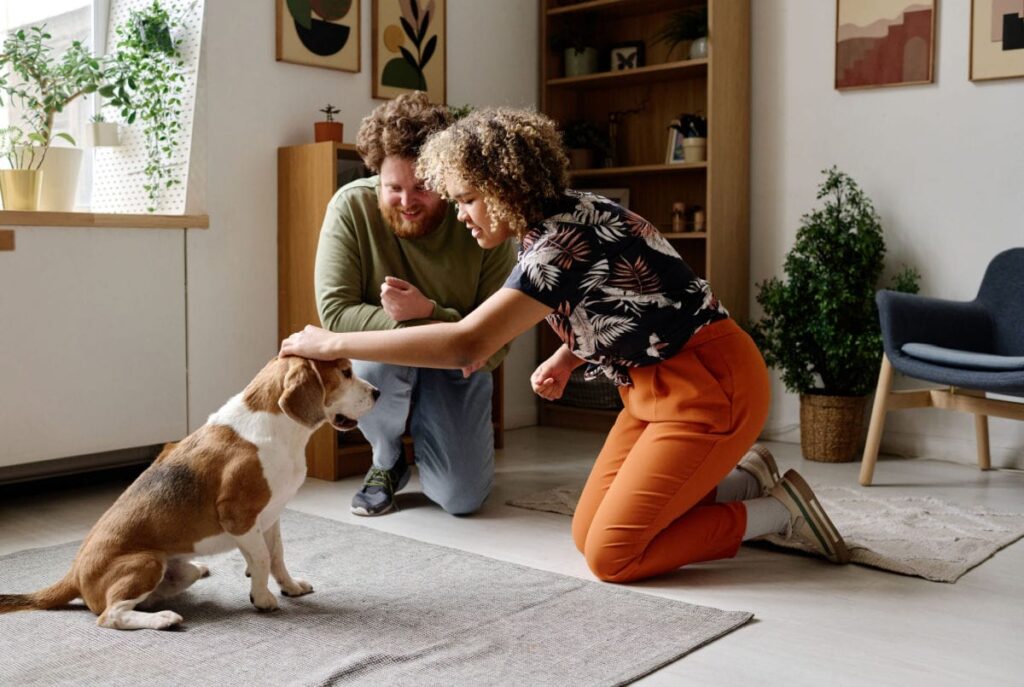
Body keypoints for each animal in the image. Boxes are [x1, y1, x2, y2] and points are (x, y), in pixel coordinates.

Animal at [0, 358, 378, 630]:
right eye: (345, 372)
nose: (376, 392)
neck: (277, 428)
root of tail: (75, 573)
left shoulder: (271, 516)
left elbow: (277, 557)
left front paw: (289, 587)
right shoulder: (239, 517)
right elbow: (260, 558)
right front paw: (262, 597)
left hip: (179, 571)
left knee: (167, 586)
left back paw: (181, 586)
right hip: (146, 561)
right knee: (111, 615)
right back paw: (162, 620)